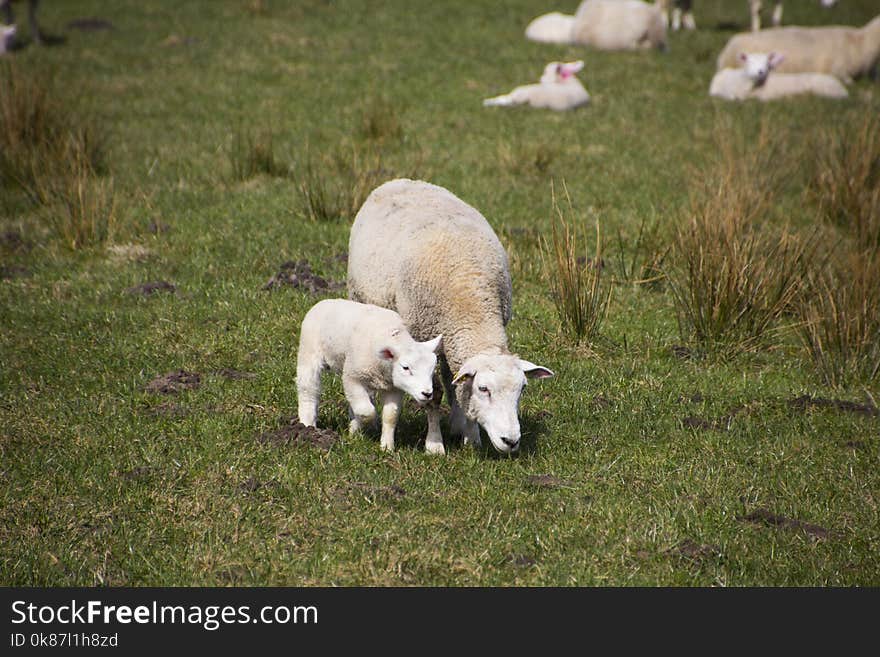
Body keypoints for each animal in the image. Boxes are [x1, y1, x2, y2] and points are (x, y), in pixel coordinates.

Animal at [296, 298, 444, 452]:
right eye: (406, 367)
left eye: (433, 369)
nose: (427, 393)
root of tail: (326, 301)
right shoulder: (352, 377)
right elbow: (367, 412)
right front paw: (359, 427)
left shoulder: (394, 388)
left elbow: (390, 416)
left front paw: (387, 447)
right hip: (309, 351)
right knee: (308, 390)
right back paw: (307, 426)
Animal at [348, 179, 552, 456]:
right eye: (484, 389)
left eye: (522, 388)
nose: (511, 441)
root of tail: (399, 181)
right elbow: (434, 395)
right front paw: (434, 444)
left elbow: (459, 385)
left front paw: (471, 437)